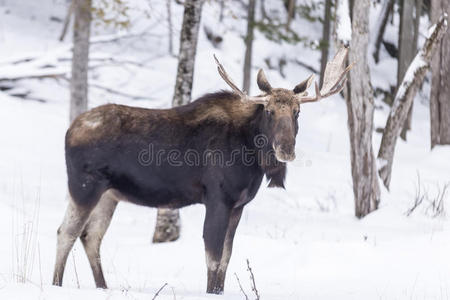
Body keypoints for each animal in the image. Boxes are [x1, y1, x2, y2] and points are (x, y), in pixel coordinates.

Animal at [52, 48, 352, 294]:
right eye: (269, 111)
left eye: (297, 112)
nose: (286, 149)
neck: (251, 155)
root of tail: (68, 130)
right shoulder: (218, 199)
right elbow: (214, 258)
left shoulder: (238, 205)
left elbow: (226, 259)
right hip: (84, 186)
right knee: (66, 232)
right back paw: (57, 285)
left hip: (110, 194)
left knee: (91, 237)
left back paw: (103, 287)